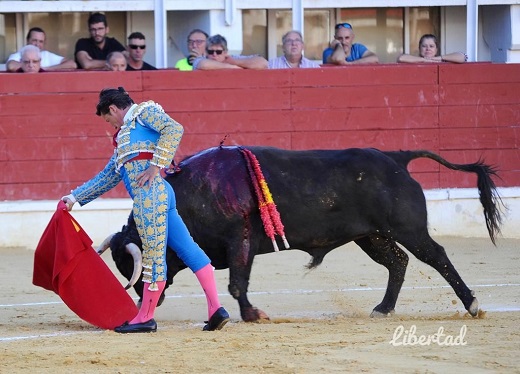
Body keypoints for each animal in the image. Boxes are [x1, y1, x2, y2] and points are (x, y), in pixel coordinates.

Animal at [99, 146, 502, 322]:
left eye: (132, 264)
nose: (143, 300)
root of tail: (395, 158)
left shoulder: (239, 239)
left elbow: (237, 283)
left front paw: (253, 314)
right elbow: (232, 282)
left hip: (407, 228)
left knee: (437, 257)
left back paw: (472, 304)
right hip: (372, 236)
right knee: (398, 262)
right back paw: (383, 308)